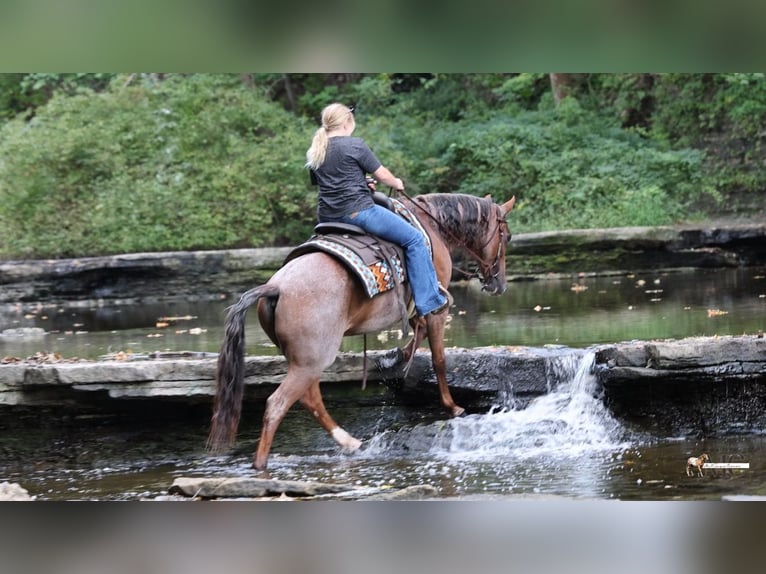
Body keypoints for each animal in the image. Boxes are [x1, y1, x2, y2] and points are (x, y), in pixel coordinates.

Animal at [207, 192, 516, 470]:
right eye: (506, 236)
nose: (499, 284)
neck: (433, 227)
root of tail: (275, 287)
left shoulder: (420, 309)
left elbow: (418, 336)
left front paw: (395, 357)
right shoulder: (436, 307)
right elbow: (438, 359)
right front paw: (452, 406)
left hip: (306, 359)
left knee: (310, 398)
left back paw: (349, 441)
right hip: (311, 360)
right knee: (277, 404)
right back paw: (262, 464)